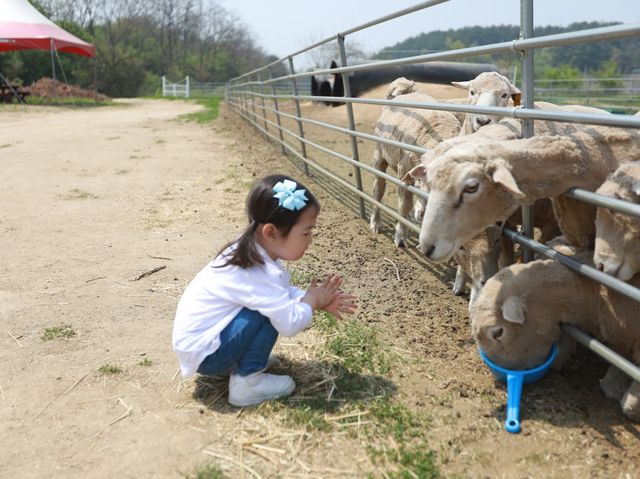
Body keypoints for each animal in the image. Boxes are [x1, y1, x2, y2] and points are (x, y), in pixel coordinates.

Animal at [368, 78, 462, 248]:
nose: (424, 215)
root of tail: (405, 87)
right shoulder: (403, 170)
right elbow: (404, 205)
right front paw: (400, 236)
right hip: (379, 155)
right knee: (378, 189)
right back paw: (375, 223)